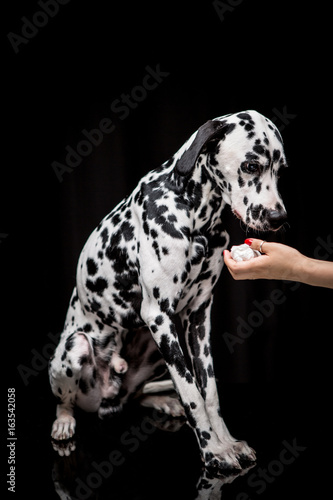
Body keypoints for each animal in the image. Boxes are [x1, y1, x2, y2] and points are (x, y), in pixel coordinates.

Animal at [48, 111, 286, 474]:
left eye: (281, 169)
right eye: (250, 165)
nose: (278, 218)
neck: (198, 220)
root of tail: (108, 399)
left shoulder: (198, 319)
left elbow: (208, 392)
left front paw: (227, 442)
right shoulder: (159, 316)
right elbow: (191, 392)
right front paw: (212, 451)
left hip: (154, 350)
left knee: (137, 395)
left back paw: (162, 400)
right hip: (79, 348)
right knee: (66, 400)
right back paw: (64, 421)